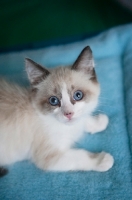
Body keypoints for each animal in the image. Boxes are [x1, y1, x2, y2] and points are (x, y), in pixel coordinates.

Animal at [0, 46, 113, 176]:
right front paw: (102, 160)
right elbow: (80, 156)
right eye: (53, 101)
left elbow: (84, 120)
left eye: (78, 95)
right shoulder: (50, 157)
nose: (68, 114)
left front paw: (99, 121)